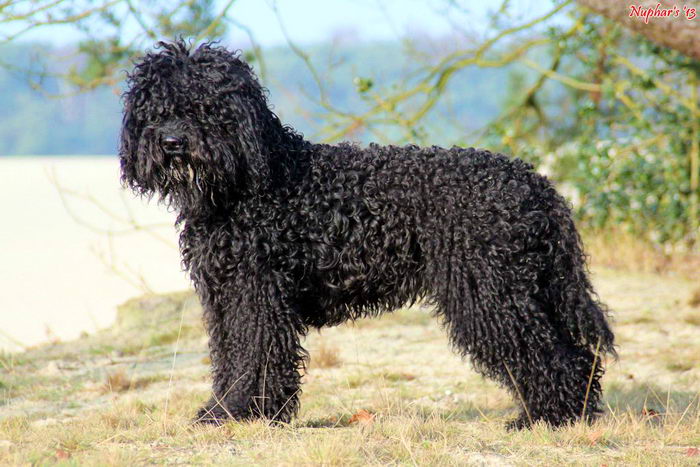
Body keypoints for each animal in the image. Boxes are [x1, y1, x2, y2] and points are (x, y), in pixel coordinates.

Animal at [123, 42, 616, 430]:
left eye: (207, 105)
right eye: (156, 109)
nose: (171, 142)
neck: (253, 181)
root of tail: (539, 185)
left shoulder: (256, 294)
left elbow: (253, 355)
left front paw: (243, 413)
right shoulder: (224, 294)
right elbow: (229, 357)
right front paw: (220, 411)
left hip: (491, 292)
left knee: (552, 356)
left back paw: (547, 418)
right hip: (527, 288)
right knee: (576, 355)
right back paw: (565, 413)